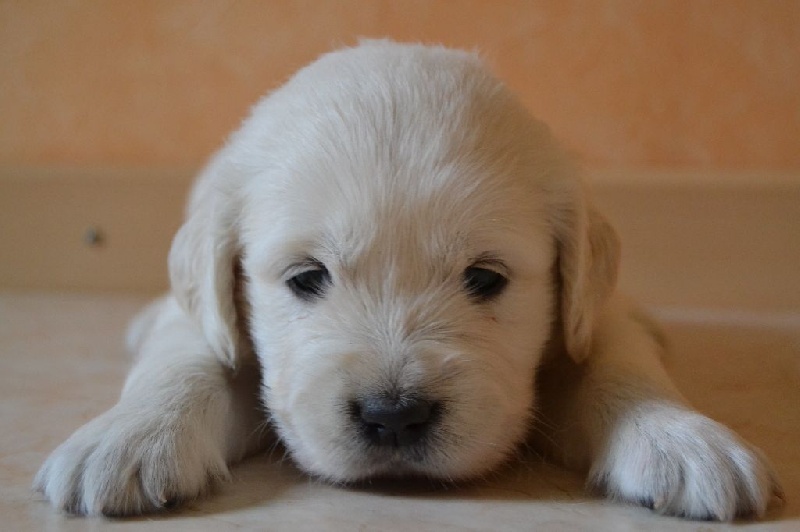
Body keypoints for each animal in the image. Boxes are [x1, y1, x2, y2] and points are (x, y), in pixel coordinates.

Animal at [34, 40, 780, 520]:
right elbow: (187, 354)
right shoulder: (209, 322)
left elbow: (615, 359)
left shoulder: (582, 325)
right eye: (307, 277)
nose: (393, 416)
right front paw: (129, 437)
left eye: (484, 278)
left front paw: (681, 440)